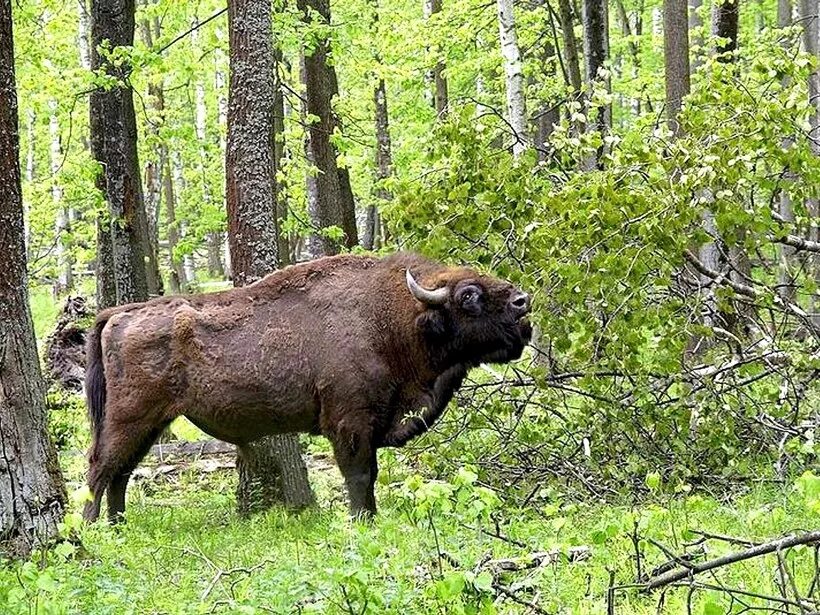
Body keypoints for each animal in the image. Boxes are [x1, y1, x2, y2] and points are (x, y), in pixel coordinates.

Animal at [83, 253, 532, 524]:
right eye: (469, 295)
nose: (523, 302)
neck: (389, 318)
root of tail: (119, 313)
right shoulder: (350, 424)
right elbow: (359, 475)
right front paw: (361, 520)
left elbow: (368, 475)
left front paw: (370, 518)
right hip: (130, 416)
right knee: (101, 466)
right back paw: (90, 532)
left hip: (153, 423)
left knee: (121, 471)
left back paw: (118, 525)